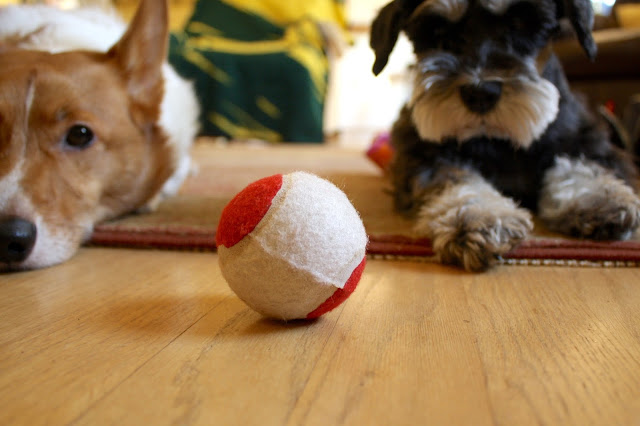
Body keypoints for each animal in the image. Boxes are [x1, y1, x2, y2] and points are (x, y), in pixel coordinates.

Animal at [370, 0, 640, 271]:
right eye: (437, 32)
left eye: (520, 23)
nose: (480, 93)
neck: (496, 138)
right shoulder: (423, 154)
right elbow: (453, 177)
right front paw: (479, 216)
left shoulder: (585, 139)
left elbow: (580, 167)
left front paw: (600, 199)